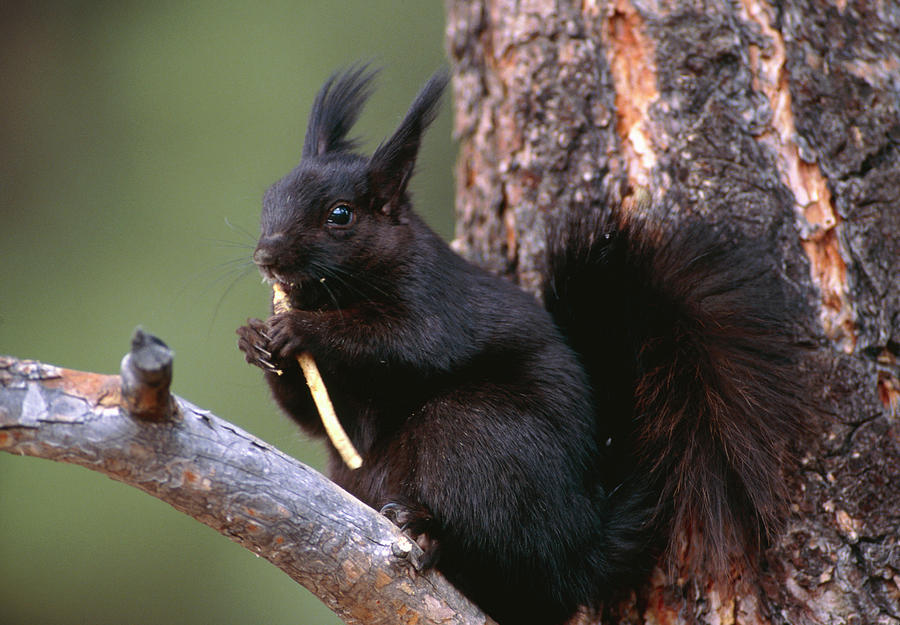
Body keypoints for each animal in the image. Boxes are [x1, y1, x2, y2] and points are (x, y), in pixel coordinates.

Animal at [236, 66, 812, 620]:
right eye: (267, 198)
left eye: (341, 215)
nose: (266, 256)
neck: (337, 293)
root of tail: (582, 549)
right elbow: (315, 420)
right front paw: (255, 339)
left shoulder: (437, 302)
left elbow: (406, 342)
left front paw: (301, 331)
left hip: (477, 437)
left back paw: (426, 529)